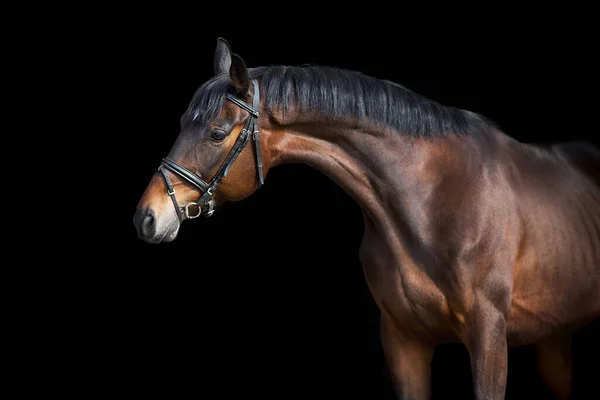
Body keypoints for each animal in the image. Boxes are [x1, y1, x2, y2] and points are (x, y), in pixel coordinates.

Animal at [135, 38, 600, 400]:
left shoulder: (489, 340)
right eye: (181, 122)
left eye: (216, 133)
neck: (433, 199)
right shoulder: (403, 342)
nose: (147, 217)